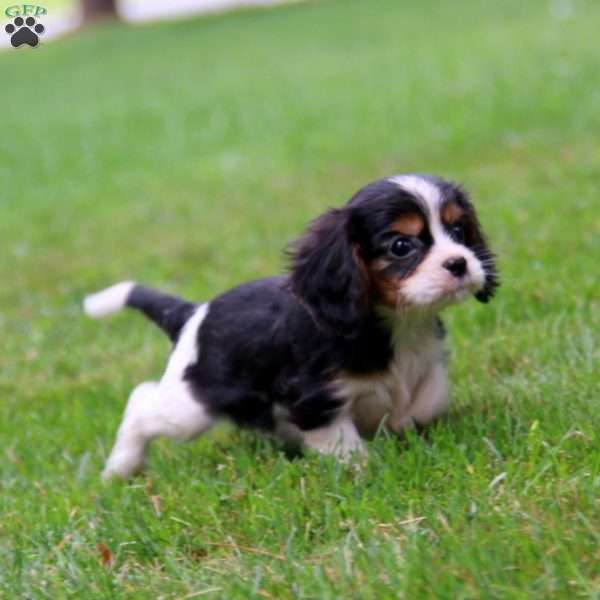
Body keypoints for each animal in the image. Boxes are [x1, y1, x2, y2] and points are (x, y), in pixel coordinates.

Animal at [84, 172, 496, 478]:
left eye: (459, 232)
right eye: (401, 246)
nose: (460, 262)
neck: (399, 324)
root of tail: (193, 312)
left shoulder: (427, 364)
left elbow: (428, 400)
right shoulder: (316, 398)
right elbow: (342, 444)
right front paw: (362, 470)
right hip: (192, 405)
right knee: (141, 401)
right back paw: (121, 468)